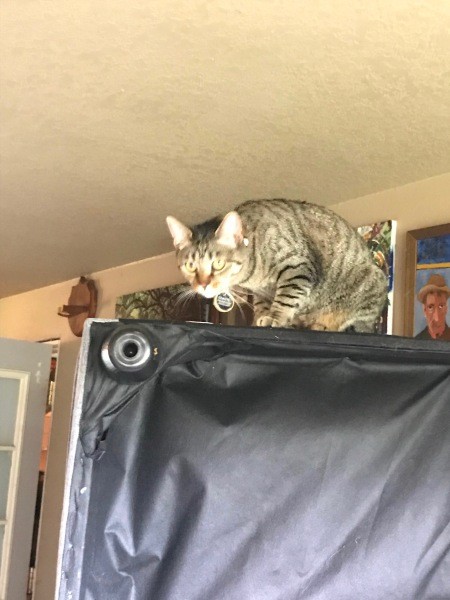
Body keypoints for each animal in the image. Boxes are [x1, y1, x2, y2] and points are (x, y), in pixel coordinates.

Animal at [165, 200, 386, 332]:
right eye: (190, 266)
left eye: (218, 264)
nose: (203, 285)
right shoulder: (261, 292)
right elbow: (262, 304)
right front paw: (261, 317)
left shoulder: (297, 266)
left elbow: (286, 298)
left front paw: (275, 317)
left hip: (370, 287)